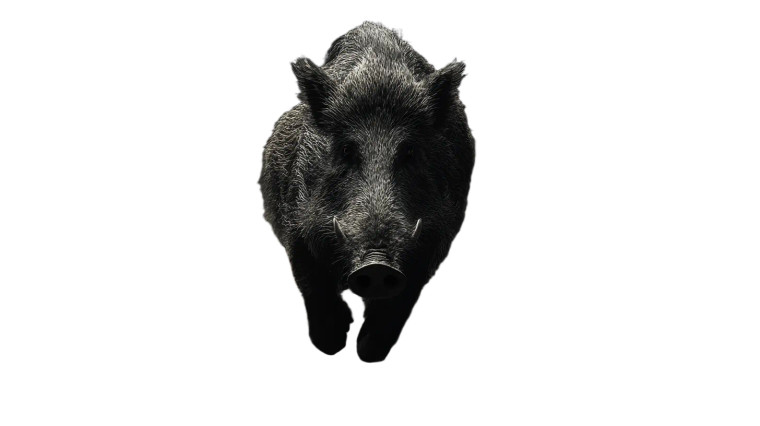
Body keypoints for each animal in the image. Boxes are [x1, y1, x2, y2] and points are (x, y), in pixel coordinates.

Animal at [259, 21, 475, 362]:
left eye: (410, 152)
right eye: (347, 149)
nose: (376, 266)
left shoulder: (434, 242)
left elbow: (397, 307)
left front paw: (367, 352)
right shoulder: (295, 228)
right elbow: (314, 288)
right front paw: (333, 343)